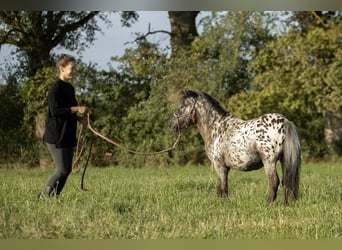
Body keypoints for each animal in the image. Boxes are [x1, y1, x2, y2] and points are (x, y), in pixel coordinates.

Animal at [170, 90, 300, 205]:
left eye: (181, 106)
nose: (171, 125)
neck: (216, 127)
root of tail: (284, 122)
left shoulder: (219, 165)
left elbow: (223, 187)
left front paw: (224, 204)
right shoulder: (223, 167)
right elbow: (220, 186)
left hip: (269, 161)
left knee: (274, 182)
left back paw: (267, 204)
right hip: (283, 160)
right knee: (286, 181)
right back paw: (285, 204)